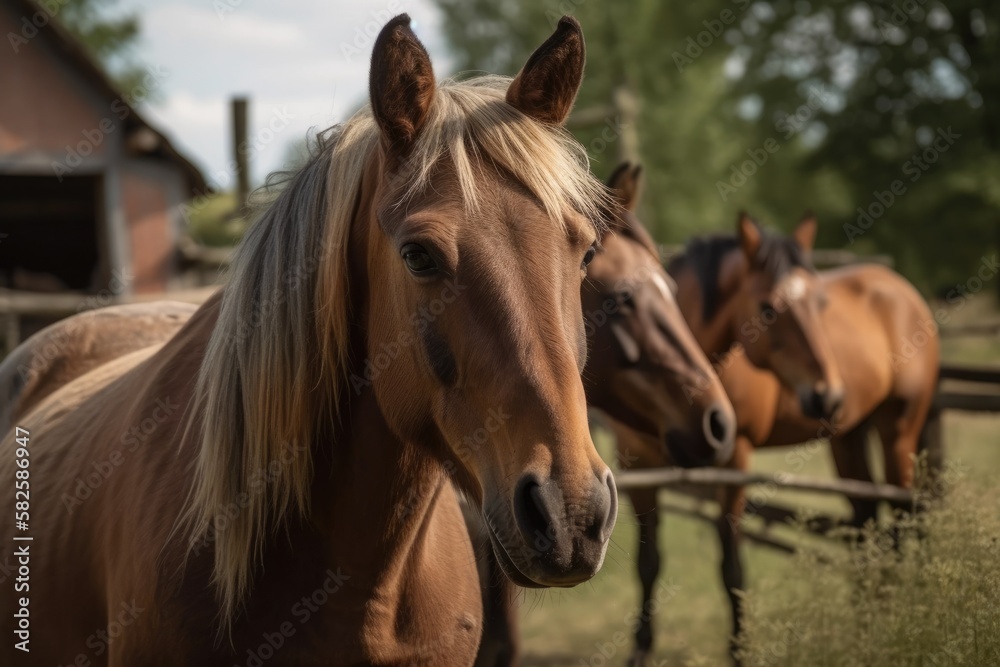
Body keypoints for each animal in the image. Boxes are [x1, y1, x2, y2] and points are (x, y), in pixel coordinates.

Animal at [614, 198, 939, 665]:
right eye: (768, 308)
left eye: (821, 303)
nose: (827, 394)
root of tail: (903, 291)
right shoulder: (639, 465)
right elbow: (648, 561)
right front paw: (640, 650)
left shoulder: (735, 462)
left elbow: (731, 566)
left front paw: (739, 651)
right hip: (849, 436)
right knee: (865, 519)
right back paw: (867, 622)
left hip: (898, 429)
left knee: (906, 514)